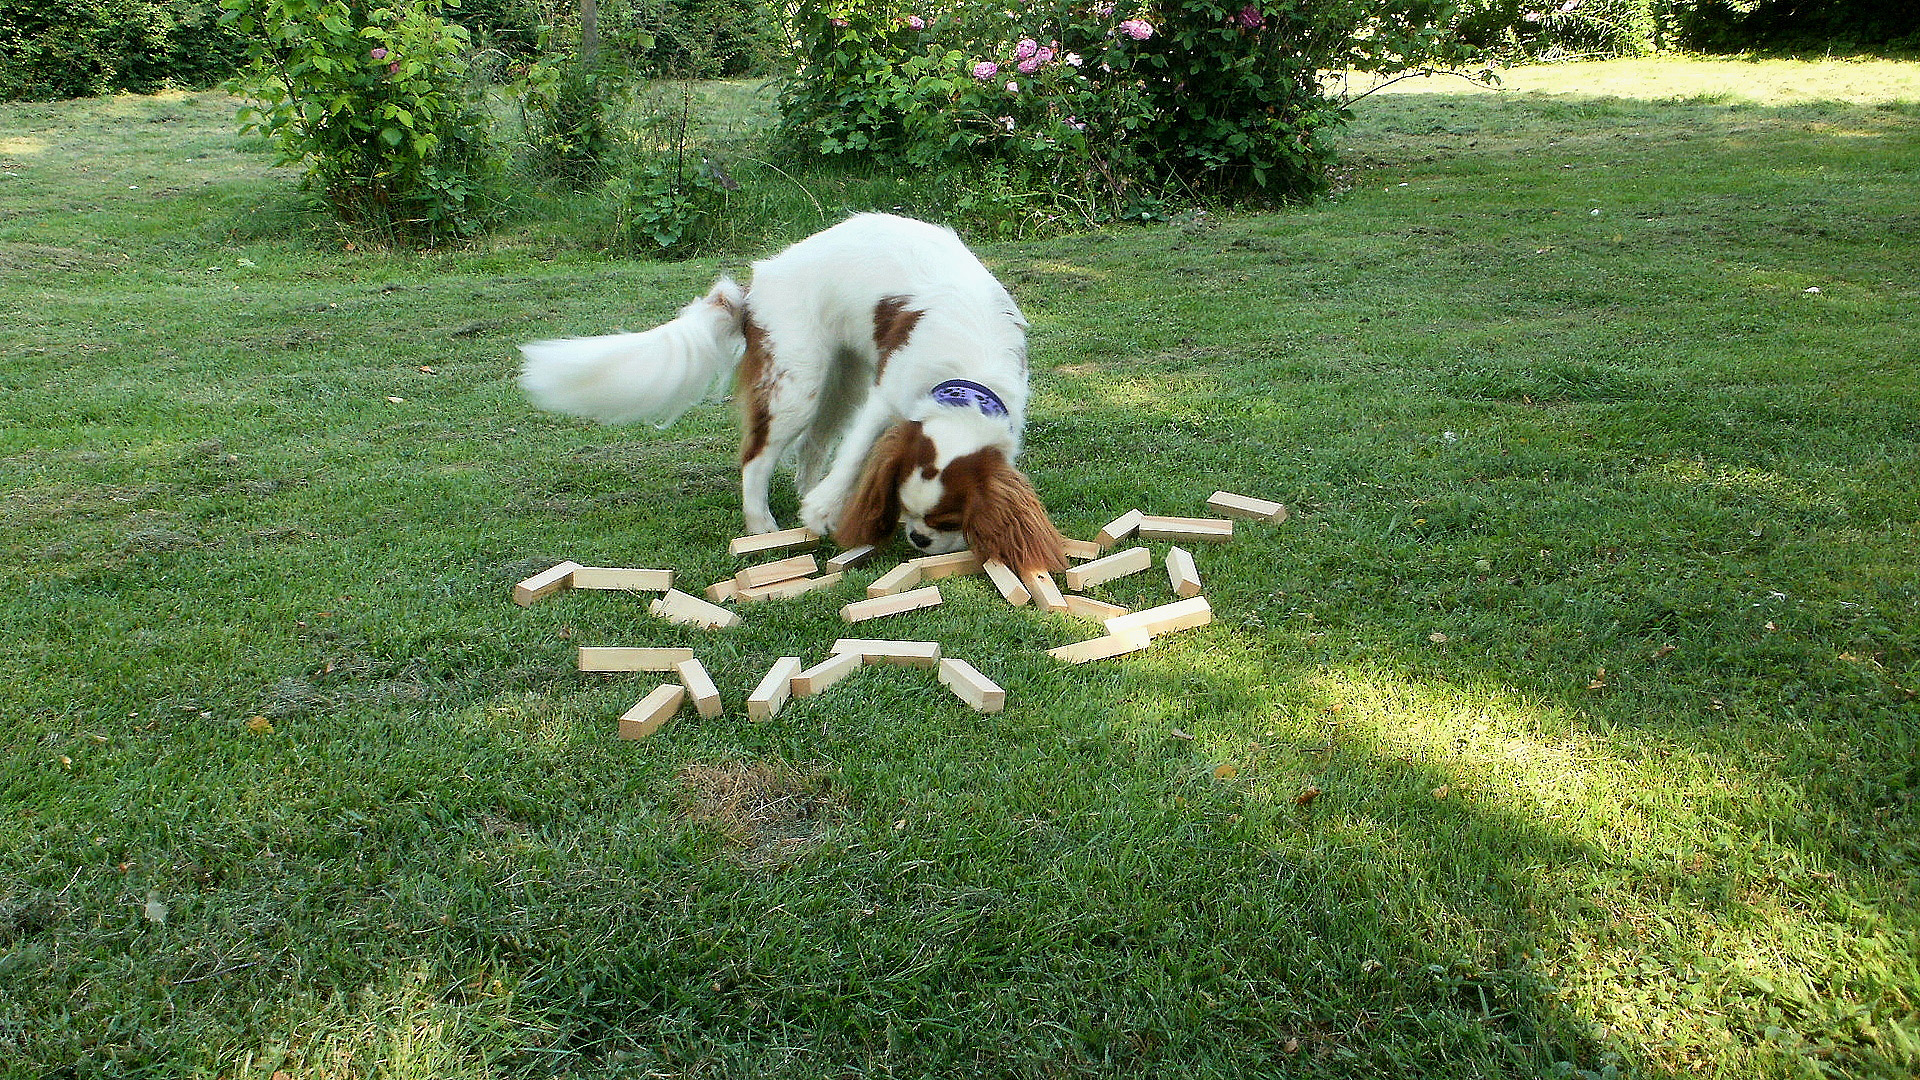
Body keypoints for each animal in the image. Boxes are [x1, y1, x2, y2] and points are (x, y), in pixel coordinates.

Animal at [517, 213, 1067, 574]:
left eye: (947, 519)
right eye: (906, 509)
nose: (916, 537)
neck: (968, 376)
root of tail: (753, 287)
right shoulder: (887, 397)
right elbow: (856, 453)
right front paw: (823, 510)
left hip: (840, 381)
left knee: (813, 445)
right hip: (797, 385)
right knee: (757, 458)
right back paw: (762, 522)